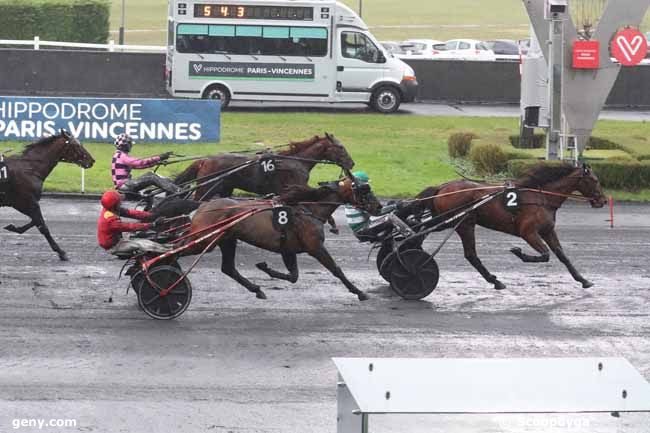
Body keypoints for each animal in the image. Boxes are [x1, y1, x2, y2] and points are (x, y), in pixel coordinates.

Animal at [0, 129, 95, 260]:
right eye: (76, 145)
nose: (92, 161)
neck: (30, 168)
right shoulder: (26, 201)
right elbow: (42, 225)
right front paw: (61, 252)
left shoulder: (21, 203)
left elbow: (36, 221)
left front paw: (13, 227)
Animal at [186, 171, 380, 300]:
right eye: (364, 189)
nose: (378, 206)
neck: (309, 210)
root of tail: (203, 206)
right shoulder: (315, 247)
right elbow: (336, 269)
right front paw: (359, 292)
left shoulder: (288, 248)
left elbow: (293, 276)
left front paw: (265, 267)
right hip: (205, 240)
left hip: (227, 239)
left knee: (228, 268)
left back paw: (256, 289)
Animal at [410, 162, 608, 290]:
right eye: (595, 180)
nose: (603, 201)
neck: (541, 198)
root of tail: (442, 188)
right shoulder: (528, 232)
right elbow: (545, 255)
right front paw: (518, 252)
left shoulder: (547, 230)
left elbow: (562, 255)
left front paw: (583, 280)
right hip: (463, 224)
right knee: (470, 255)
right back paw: (495, 281)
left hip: (448, 221)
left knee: (421, 231)